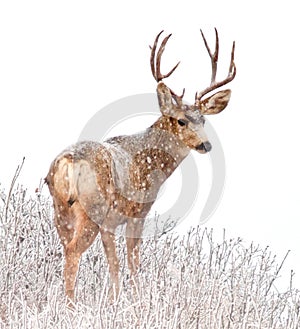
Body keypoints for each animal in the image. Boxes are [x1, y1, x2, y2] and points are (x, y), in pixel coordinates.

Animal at [45, 29, 237, 302]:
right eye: (181, 121)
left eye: (203, 121)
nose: (206, 144)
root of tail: (69, 161)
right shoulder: (137, 212)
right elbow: (132, 263)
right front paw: (137, 301)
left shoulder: (110, 223)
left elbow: (113, 265)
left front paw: (114, 300)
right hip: (92, 208)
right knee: (73, 251)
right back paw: (71, 306)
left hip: (60, 209)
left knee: (65, 248)